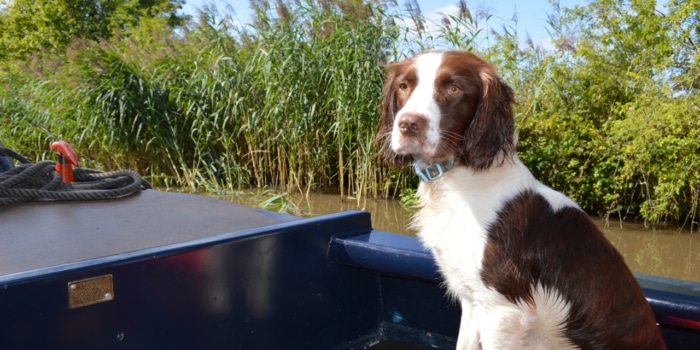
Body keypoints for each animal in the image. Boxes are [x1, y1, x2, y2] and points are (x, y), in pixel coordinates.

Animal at [378, 50, 668, 348]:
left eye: (454, 88)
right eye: (404, 86)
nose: (408, 125)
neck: (459, 180)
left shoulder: (502, 309)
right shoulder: (473, 300)